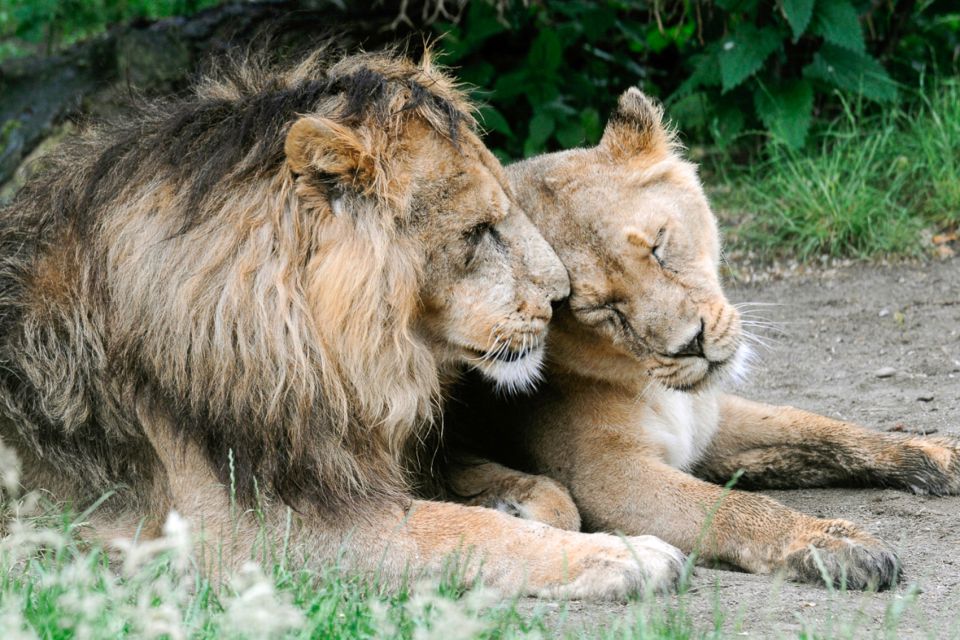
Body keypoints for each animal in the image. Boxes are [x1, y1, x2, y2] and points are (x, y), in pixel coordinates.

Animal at [3, 52, 688, 596]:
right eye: (479, 232)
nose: (560, 295)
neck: (340, 363)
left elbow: (544, 496)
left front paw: (521, 502)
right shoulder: (249, 535)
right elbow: (457, 531)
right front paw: (628, 555)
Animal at [446, 87, 960, 588]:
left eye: (658, 245)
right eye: (601, 309)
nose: (691, 343)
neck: (653, 387)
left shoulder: (710, 426)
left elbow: (821, 428)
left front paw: (942, 455)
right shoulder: (607, 476)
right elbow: (730, 508)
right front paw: (829, 542)